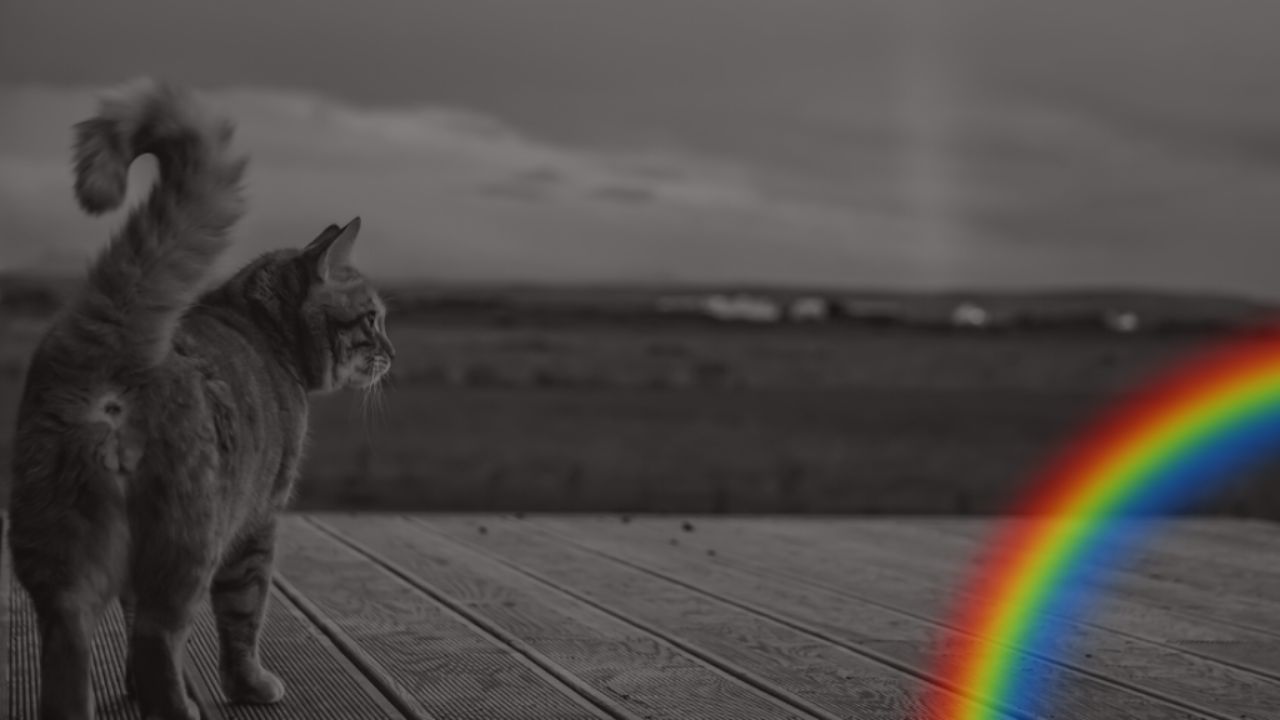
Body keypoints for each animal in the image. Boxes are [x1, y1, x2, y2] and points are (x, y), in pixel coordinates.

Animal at [7, 78, 394, 717]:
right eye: (371, 319)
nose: (391, 351)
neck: (262, 330)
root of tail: (118, 338)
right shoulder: (260, 521)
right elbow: (243, 619)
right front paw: (250, 685)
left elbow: (134, 622)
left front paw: (132, 690)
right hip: (189, 543)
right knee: (158, 637)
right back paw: (178, 706)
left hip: (61, 564)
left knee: (73, 652)